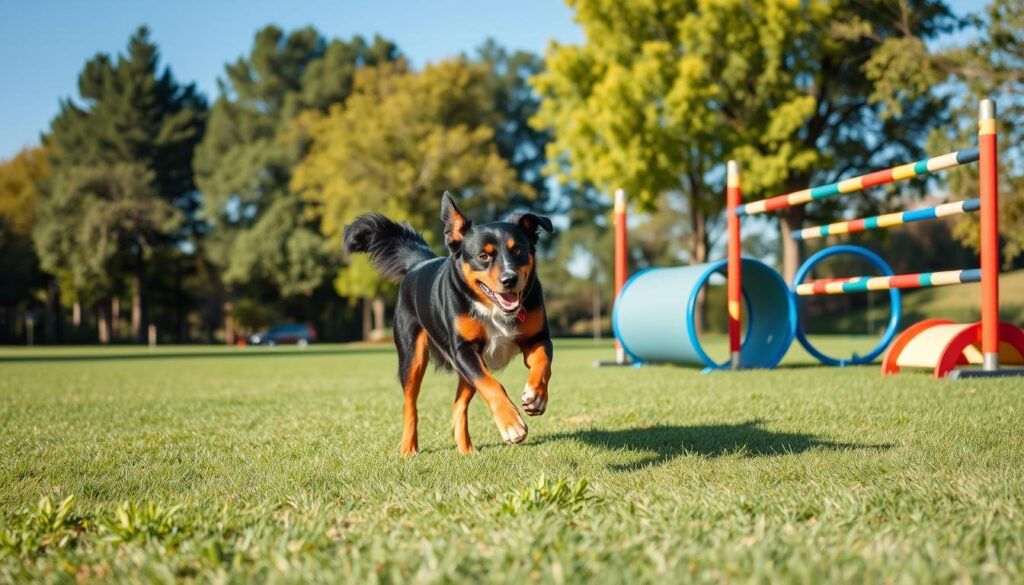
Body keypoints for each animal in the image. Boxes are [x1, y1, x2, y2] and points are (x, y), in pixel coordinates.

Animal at [344, 192, 552, 456]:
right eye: (483, 256)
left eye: (518, 251)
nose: (509, 279)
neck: (493, 310)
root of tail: (417, 264)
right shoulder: (463, 349)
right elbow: (491, 385)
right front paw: (510, 423)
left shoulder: (538, 338)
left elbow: (542, 364)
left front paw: (537, 395)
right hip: (413, 357)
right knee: (410, 405)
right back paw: (407, 449)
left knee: (458, 405)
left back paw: (466, 449)